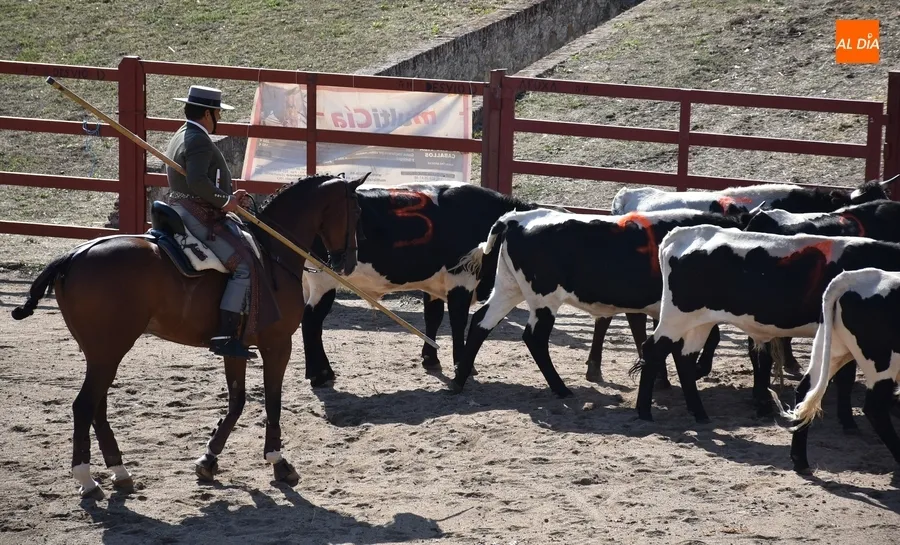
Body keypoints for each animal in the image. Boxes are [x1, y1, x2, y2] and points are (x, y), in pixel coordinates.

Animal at [10, 172, 366, 498]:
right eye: (356, 208)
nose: (348, 262)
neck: (271, 254)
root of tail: (74, 256)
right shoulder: (278, 344)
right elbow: (272, 401)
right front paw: (279, 462)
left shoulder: (235, 347)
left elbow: (237, 401)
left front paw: (208, 460)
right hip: (108, 351)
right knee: (84, 406)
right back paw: (86, 479)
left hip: (100, 353)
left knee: (97, 406)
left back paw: (120, 471)